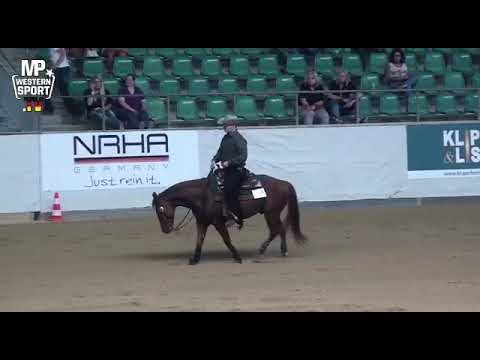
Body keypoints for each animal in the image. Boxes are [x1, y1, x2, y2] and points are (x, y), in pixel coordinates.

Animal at [151, 169, 308, 264]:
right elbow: (199, 240)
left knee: (276, 230)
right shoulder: (202, 222)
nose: (165, 230)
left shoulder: (218, 222)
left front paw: (237, 257)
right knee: (281, 229)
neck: (203, 195)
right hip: (272, 214)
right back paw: (282, 251)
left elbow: (226, 239)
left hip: (271, 213)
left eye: (160, 209)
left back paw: (263, 250)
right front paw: (195, 259)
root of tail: (284, 183)